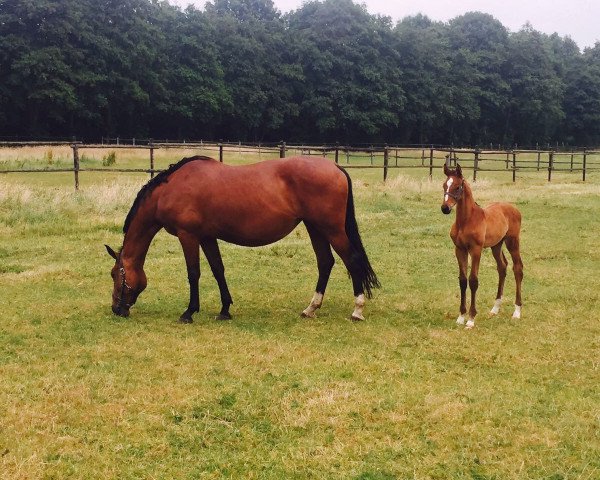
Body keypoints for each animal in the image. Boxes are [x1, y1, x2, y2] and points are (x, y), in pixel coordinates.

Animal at [105, 156, 378, 324]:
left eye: (114, 274)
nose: (117, 309)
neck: (170, 189)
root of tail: (335, 167)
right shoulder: (207, 237)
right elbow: (218, 270)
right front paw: (225, 310)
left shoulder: (188, 236)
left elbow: (194, 273)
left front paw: (189, 312)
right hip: (315, 228)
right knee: (325, 262)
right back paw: (310, 309)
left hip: (331, 229)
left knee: (351, 260)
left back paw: (357, 309)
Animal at [438, 163, 524, 328]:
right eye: (444, 185)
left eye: (457, 187)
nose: (445, 208)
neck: (466, 221)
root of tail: (513, 208)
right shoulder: (460, 250)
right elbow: (463, 280)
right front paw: (461, 317)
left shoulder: (476, 250)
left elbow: (473, 281)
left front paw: (471, 319)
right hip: (496, 245)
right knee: (502, 267)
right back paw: (495, 309)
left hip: (512, 241)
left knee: (517, 268)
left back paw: (517, 312)